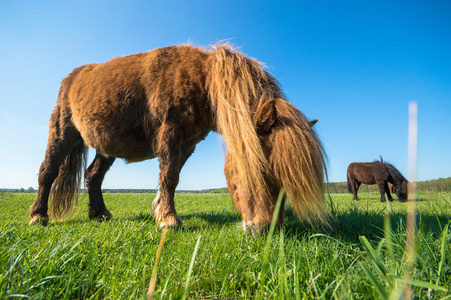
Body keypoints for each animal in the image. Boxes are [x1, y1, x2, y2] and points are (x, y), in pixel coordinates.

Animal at [29, 44, 328, 232]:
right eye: (262, 170)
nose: (265, 229)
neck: (201, 81)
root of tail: (72, 77)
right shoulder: (170, 132)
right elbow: (170, 176)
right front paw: (170, 220)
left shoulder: (187, 144)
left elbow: (171, 176)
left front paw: (159, 210)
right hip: (62, 132)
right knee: (48, 171)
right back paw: (38, 215)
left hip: (107, 147)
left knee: (93, 175)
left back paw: (99, 214)